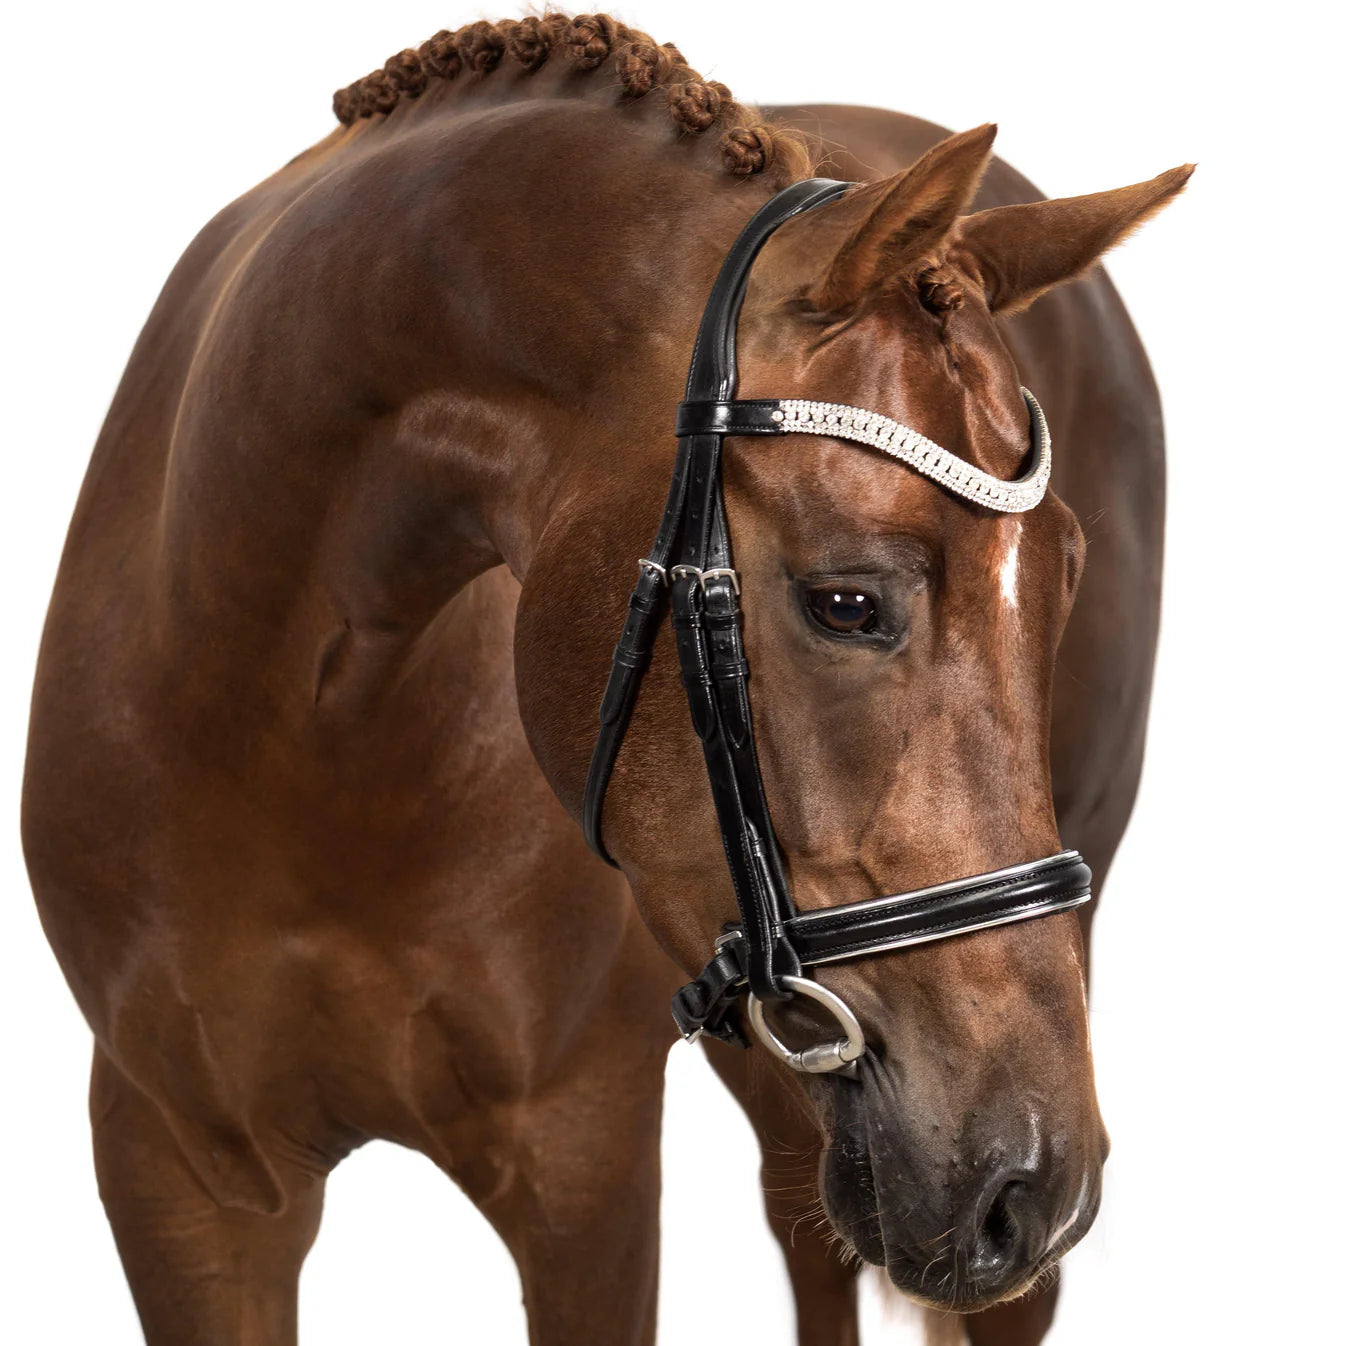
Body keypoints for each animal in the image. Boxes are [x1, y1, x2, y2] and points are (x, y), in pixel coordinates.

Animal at [21, 13, 1189, 1345]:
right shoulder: (180, 1173)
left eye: (1063, 579)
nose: (1030, 1178)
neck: (293, 735)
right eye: (846, 601)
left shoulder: (581, 1156)